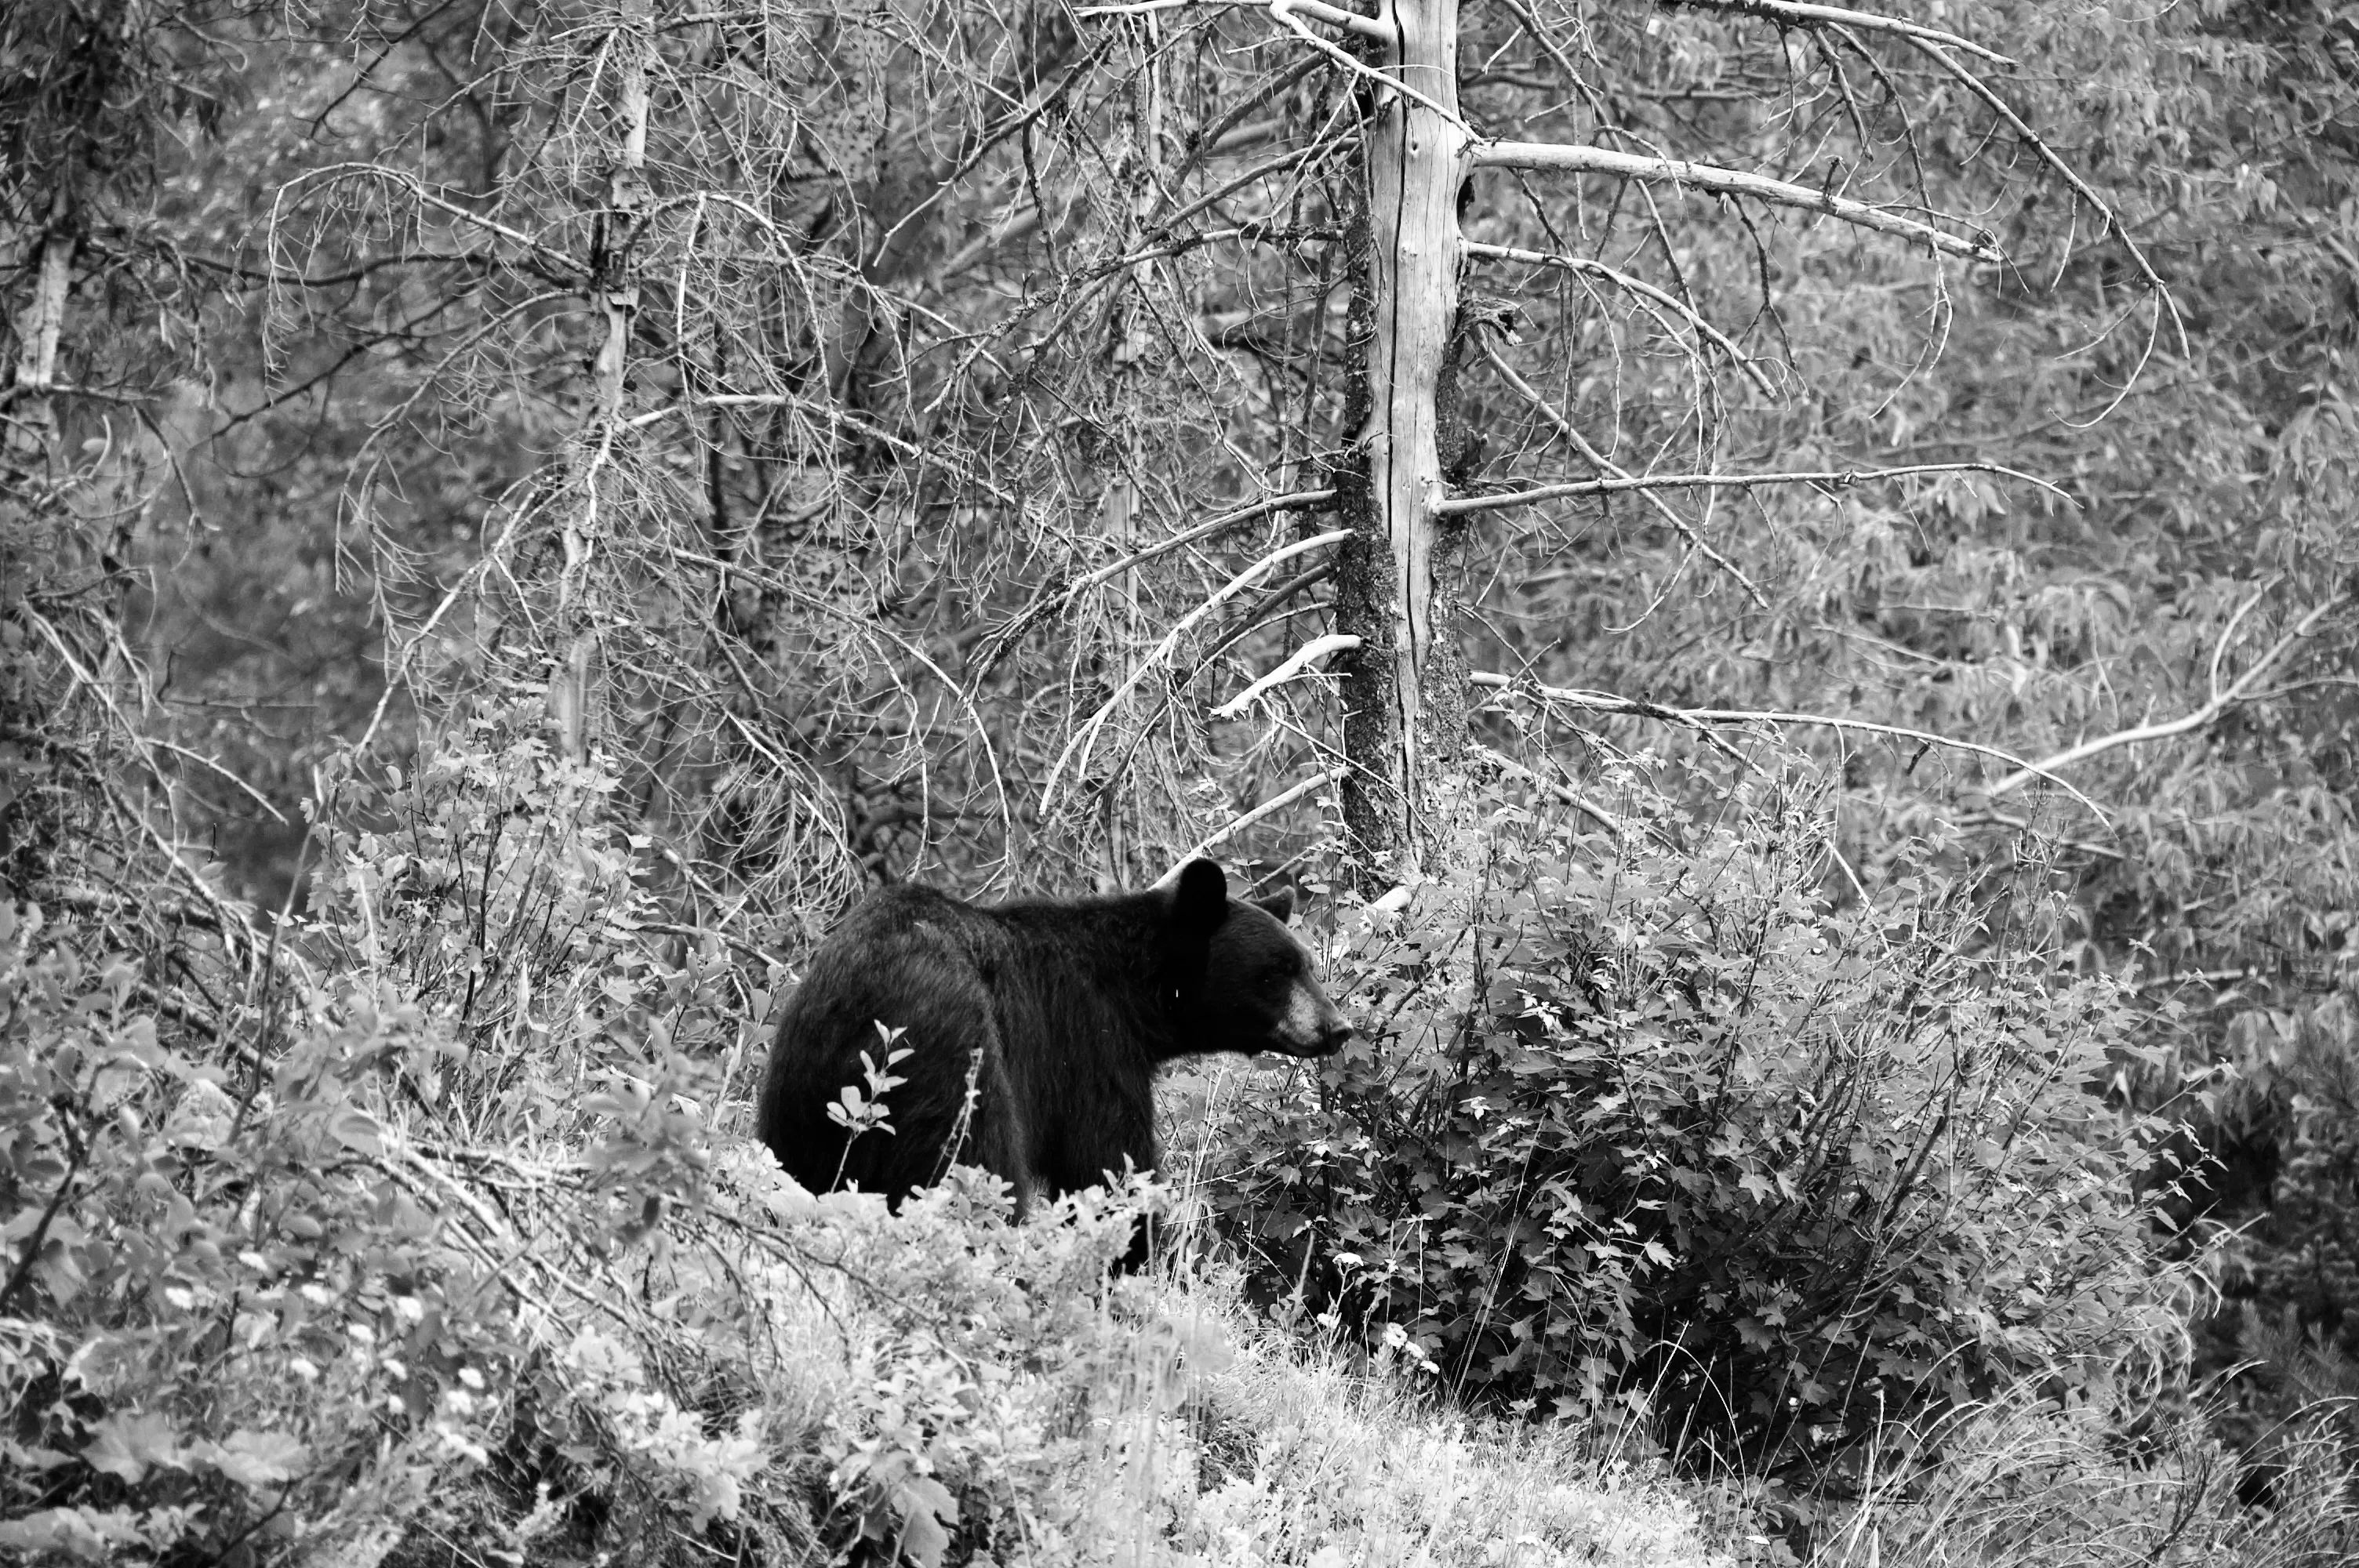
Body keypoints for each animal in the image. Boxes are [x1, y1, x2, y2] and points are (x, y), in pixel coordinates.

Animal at [755, 858, 1352, 1238]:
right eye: (1277, 972)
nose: (1337, 1027)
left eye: (1306, 964)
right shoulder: (1089, 1045)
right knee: (976, 1171)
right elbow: (1107, 1167)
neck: (1135, 991)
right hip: (956, 1059)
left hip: (804, 1090)